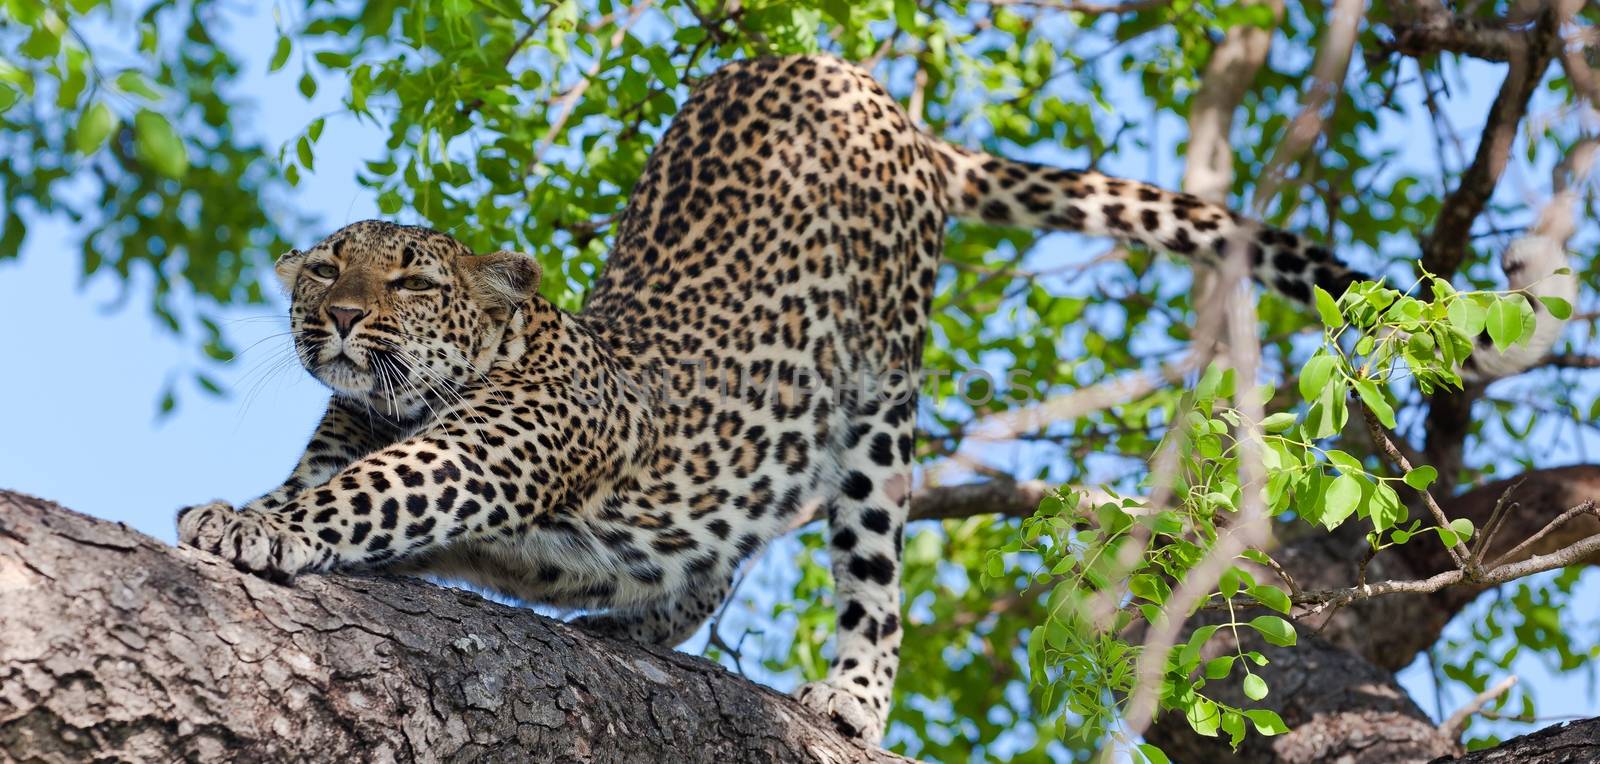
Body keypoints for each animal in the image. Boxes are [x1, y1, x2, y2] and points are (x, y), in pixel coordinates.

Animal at [184, 50, 1401, 741]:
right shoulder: (346, 431)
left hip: (881, 404)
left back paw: (852, 695)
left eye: (411, 280)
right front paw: (252, 509)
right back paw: (636, 612)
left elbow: (371, 491)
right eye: (325, 267)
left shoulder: (484, 449)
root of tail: (879, 99)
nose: (335, 318)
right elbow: (325, 483)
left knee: (873, 572)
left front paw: (244, 527)